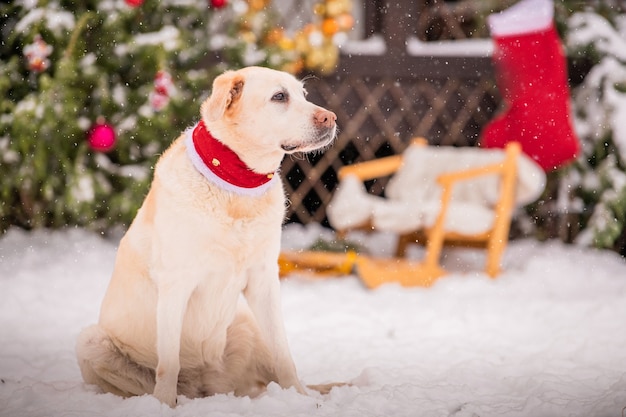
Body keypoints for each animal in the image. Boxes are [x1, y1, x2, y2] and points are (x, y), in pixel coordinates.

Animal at [77, 66, 336, 404]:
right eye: (279, 96)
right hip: (89, 341)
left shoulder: (264, 281)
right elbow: (168, 363)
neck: (236, 186)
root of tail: (206, 388)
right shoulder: (176, 284)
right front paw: (163, 405)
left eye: (303, 95)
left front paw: (298, 399)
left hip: (245, 324)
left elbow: (284, 354)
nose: (331, 118)